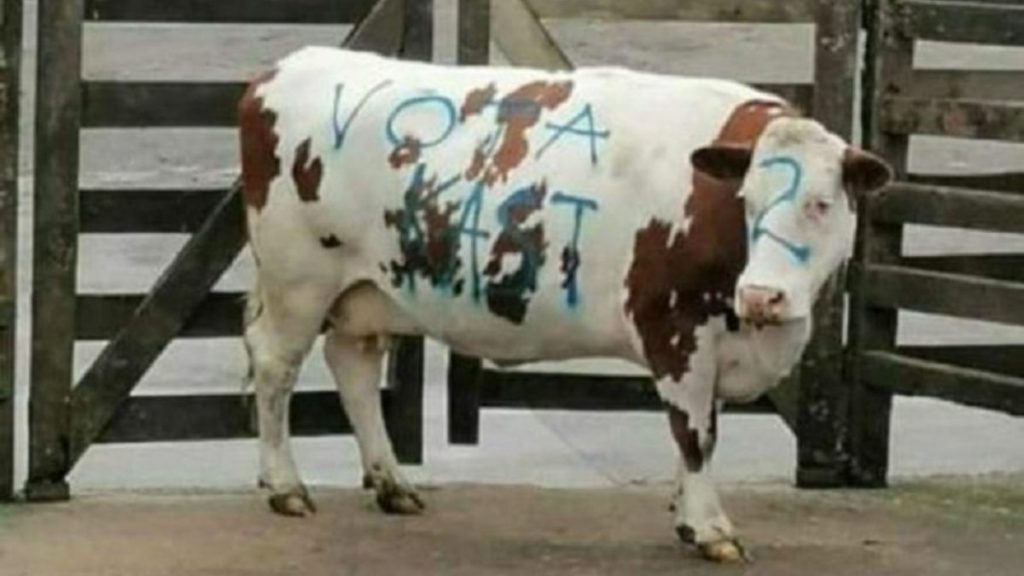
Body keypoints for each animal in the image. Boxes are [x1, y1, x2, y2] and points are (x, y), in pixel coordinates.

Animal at [238, 46, 891, 563]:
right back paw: (285, 486)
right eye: (748, 199)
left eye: (821, 203)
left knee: (353, 366)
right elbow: (694, 433)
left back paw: (392, 483)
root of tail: (285, 67)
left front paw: (686, 515)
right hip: (297, 278)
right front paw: (711, 529)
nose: (761, 294)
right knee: (275, 365)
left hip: (368, 290)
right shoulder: (674, 325)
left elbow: (703, 428)